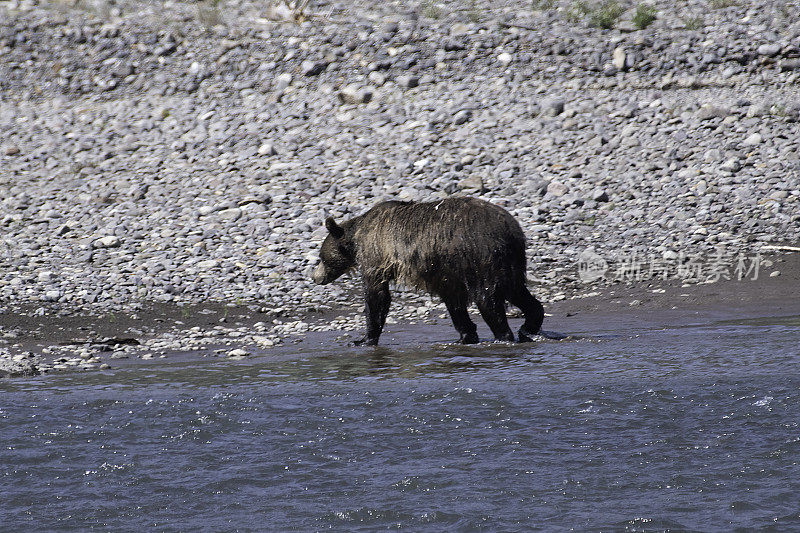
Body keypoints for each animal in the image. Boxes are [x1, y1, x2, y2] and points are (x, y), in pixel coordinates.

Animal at [310, 195, 544, 344]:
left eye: (321, 257)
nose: (315, 277)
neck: (356, 238)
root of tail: (511, 230)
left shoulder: (376, 254)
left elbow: (377, 296)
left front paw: (364, 338)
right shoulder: (447, 271)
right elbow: (454, 302)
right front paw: (466, 335)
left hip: (482, 258)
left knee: (488, 299)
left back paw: (504, 336)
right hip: (509, 261)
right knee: (517, 291)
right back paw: (528, 327)